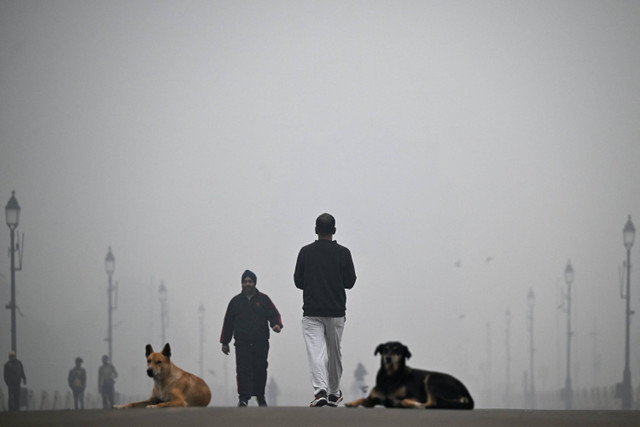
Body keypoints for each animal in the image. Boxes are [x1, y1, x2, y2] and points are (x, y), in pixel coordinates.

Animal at [344, 342, 476, 410]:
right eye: (385, 350)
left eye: (397, 350)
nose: (388, 358)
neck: (390, 377)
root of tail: (467, 394)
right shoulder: (373, 400)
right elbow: (362, 399)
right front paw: (351, 403)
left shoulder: (414, 396)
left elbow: (404, 400)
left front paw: (414, 404)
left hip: (431, 378)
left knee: (432, 402)